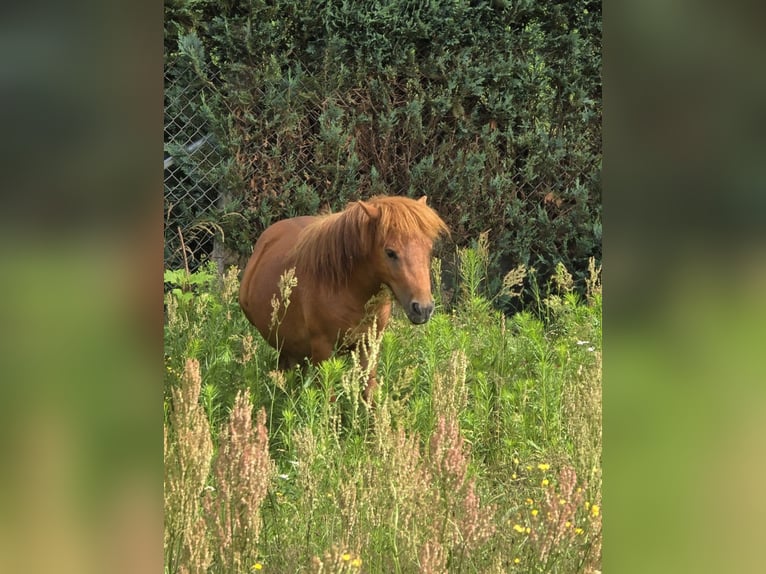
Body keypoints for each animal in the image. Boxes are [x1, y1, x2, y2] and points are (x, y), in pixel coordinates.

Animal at [242, 196, 450, 398]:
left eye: (428, 248)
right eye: (390, 252)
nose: (423, 308)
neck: (346, 289)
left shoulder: (369, 346)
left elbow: (369, 392)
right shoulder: (323, 351)